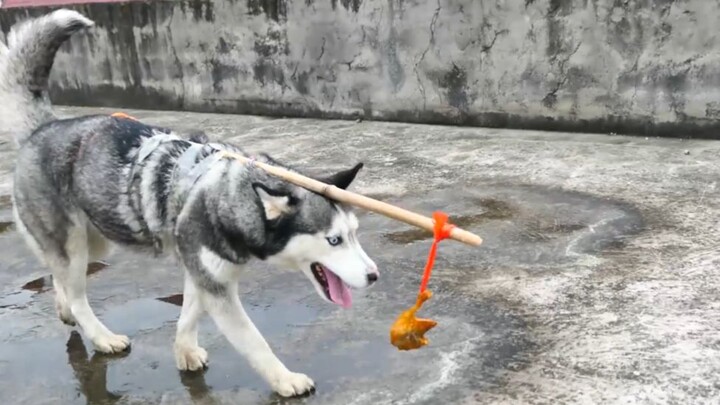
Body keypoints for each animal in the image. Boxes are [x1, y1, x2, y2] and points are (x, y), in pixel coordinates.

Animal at [0, 10, 380, 398]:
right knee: (77, 295)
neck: (229, 194)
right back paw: (101, 336)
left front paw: (184, 351)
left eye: (354, 233)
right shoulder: (214, 282)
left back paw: (63, 306)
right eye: (333, 240)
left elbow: (188, 315)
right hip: (75, 246)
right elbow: (254, 341)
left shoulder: (203, 272)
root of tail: (41, 129)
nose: (374, 275)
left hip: (95, 239)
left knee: (59, 277)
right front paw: (285, 379)